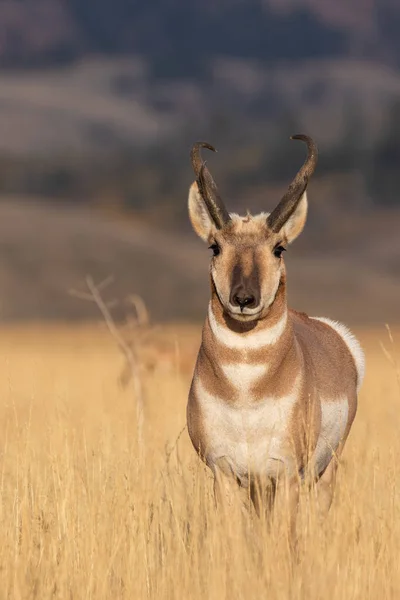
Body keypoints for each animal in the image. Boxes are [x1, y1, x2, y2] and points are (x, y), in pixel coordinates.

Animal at [186, 135, 364, 536]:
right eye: (215, 246)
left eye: (279, 248)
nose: (244, 299)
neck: (246, 391)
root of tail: (339, 339)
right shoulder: (226, 474)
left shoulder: (286, 475)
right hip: (258, 486)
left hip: (325, 472)